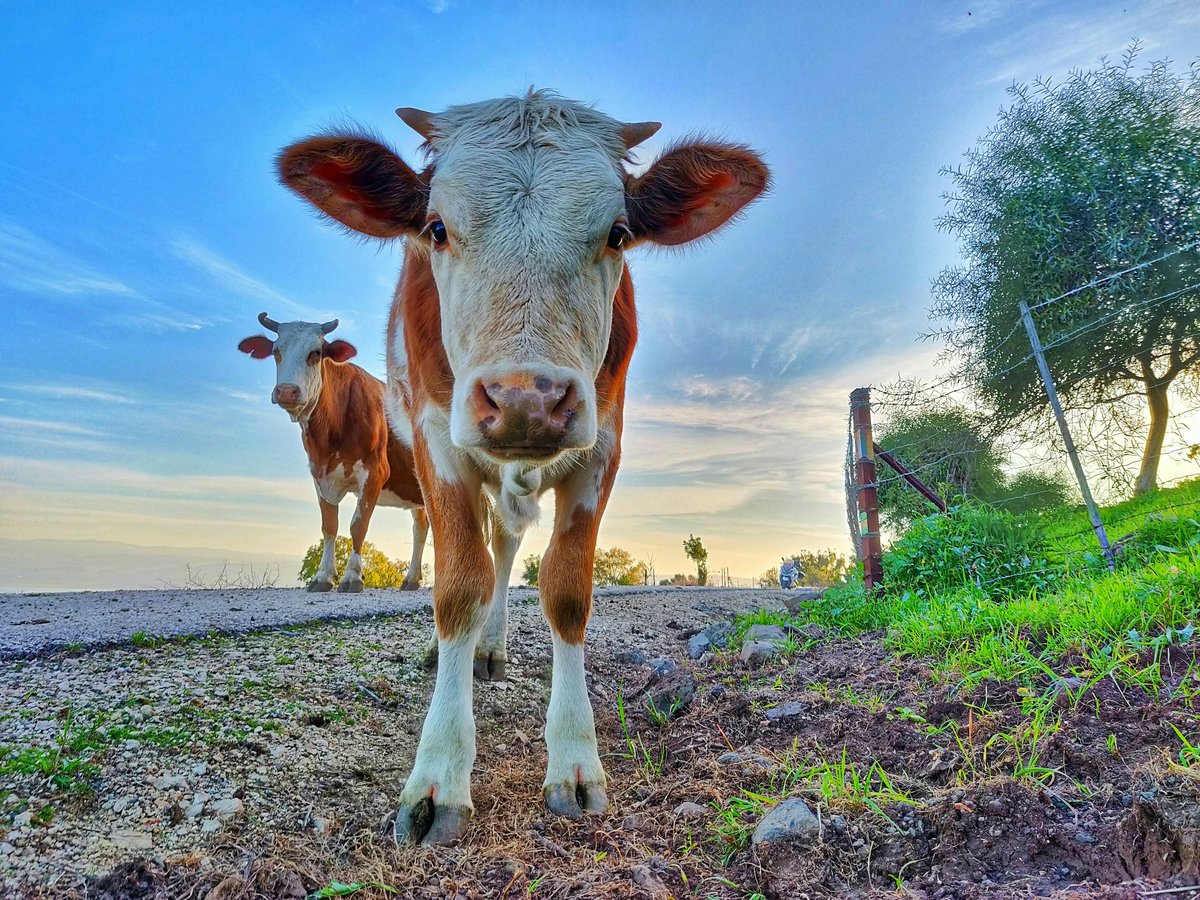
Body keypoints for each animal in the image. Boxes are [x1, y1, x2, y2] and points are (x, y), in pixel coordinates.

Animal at [234, 314, 427, 595]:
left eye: (315, 353)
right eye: (276, 351)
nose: (286, 391)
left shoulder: (375, 472)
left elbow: (358, 526)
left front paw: (352, 577)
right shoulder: (319, 474)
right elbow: (329, 527)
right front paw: (323, 576)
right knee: (421, 528)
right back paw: (412, 579)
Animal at [278, 91, 768, 844]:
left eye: (618, 233)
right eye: (437, 228)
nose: (525, 399)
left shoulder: (603, 445)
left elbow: (565, 591)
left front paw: (574, 758)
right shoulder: (436, 440)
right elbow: (458, 587)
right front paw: (439, 772)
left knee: (506, 550)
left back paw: (493, 647)